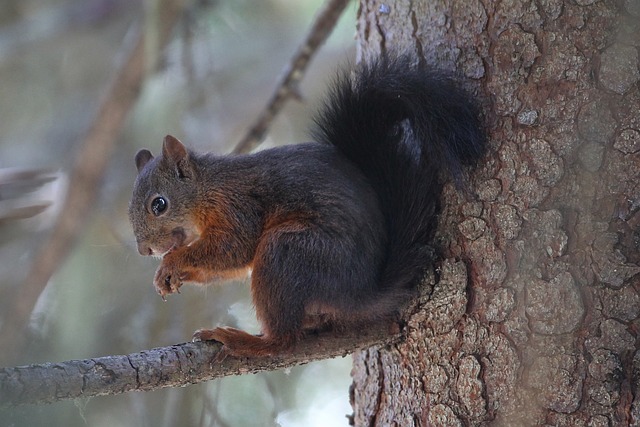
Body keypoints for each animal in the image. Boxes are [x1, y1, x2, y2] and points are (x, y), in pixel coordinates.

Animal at [129, 55, 484, 360]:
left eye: (159, 204)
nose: (145, 251)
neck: (207, 190)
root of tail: (361, 294)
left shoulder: (238, 206)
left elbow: (234, 249)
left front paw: (173, 262)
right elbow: (228, 267)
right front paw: (170, 275)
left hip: (289, 251)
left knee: (284, 341)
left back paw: (242, 340)